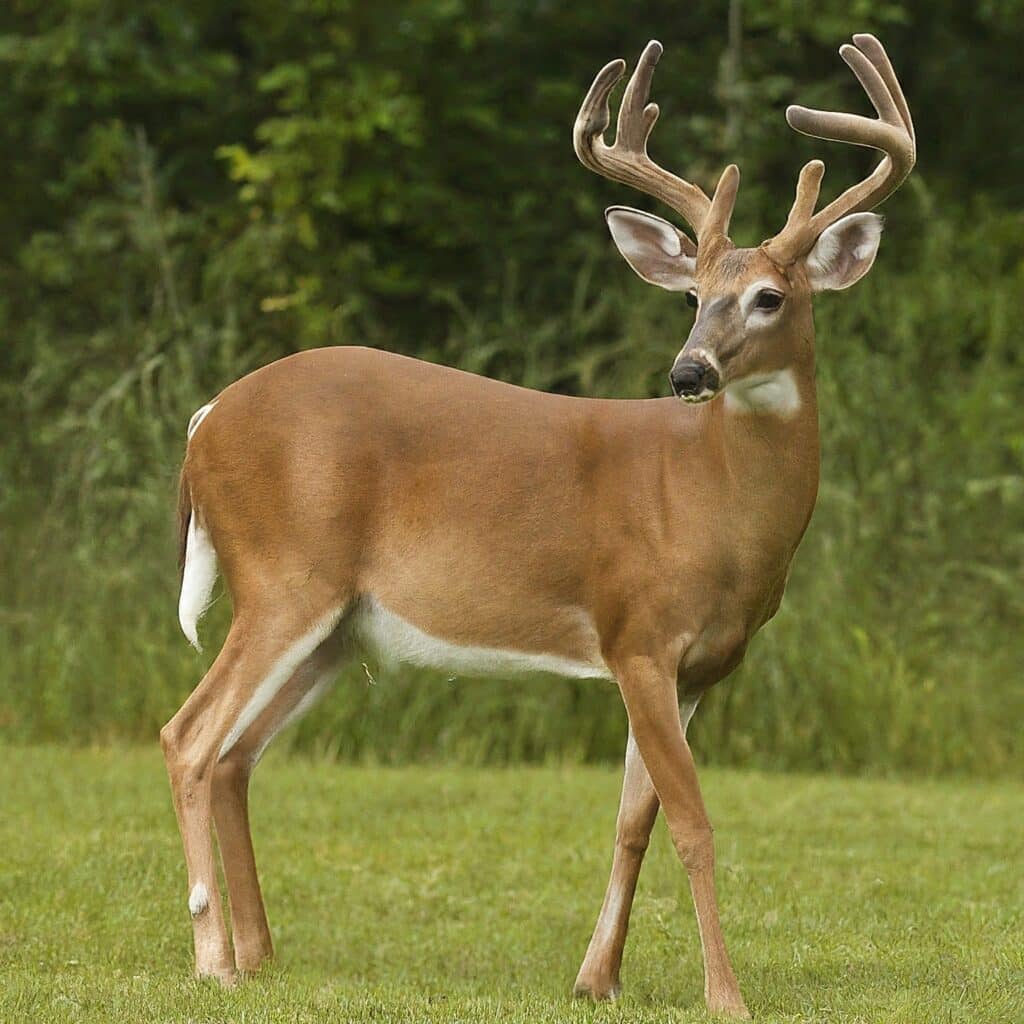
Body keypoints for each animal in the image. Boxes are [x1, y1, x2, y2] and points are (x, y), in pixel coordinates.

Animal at [163, 32, 917, 1015]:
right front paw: (726, 994)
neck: (711, 504)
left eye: (769, 297)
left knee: (234, 756)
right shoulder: (638, 635)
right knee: (188, 738)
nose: (688, 372)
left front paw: (598, 978)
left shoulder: (700, 669)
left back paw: (259, 955)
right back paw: (213, 958)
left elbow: (635, 821)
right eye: (692, 295)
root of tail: (204, 420)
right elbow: (693, 823)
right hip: (283, 579)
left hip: (334, 627)